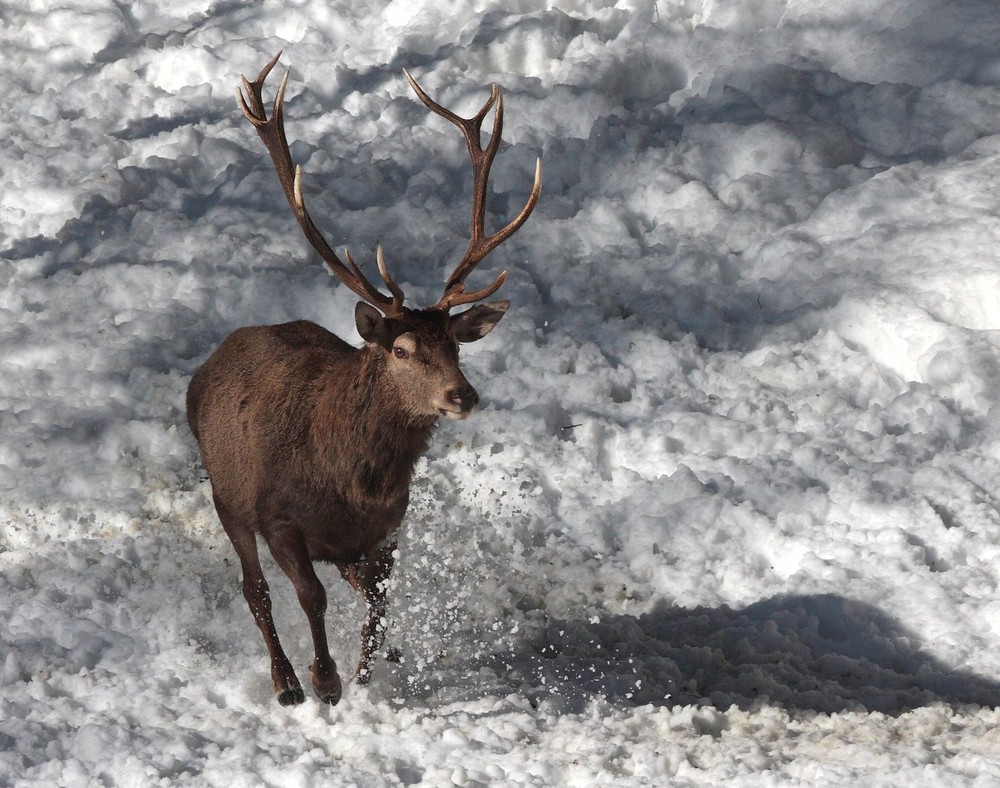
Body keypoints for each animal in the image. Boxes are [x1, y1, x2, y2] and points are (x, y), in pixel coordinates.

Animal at [186, 55, 540, 708]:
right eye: (400, 349)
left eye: (455, 346)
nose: (462, 394)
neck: (351, 485)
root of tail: (212, 361)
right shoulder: (280, 518)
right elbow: (309, 595)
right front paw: (325, 680)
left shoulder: (385, 530)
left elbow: (377, 601)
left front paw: (368, 675)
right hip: (227, 497)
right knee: (255, 589)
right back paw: (286, 682)